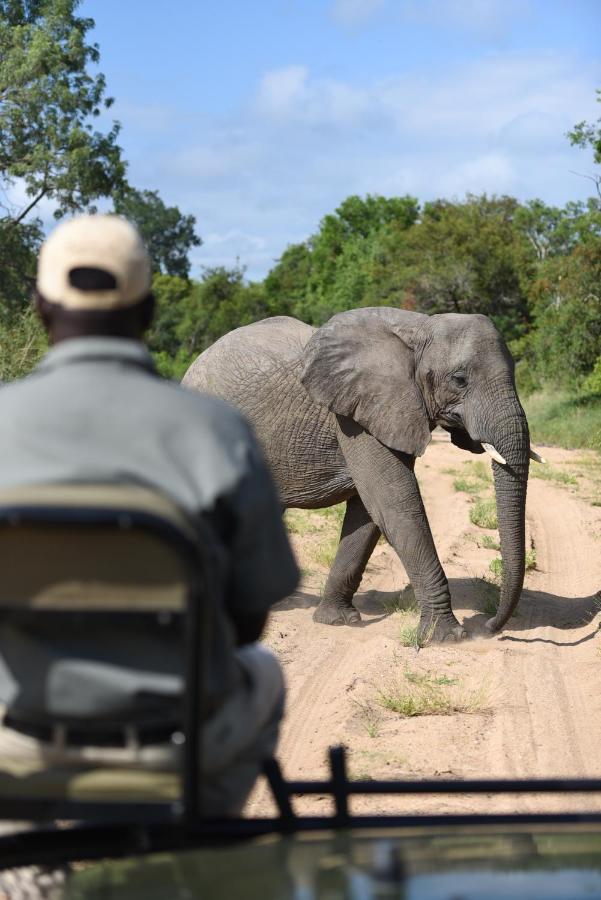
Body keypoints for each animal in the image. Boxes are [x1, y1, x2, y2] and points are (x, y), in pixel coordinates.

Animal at [183, 310, 536, 640]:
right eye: (460, 379)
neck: (419, 327)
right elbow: (395, 501)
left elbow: (369, 512)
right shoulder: (355, 417)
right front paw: (446, 637)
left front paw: (338, 620)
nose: (488, 627)